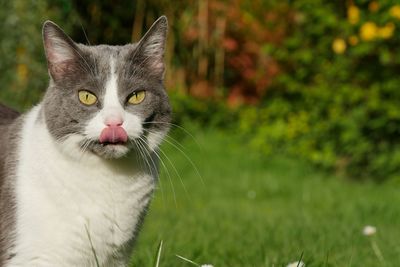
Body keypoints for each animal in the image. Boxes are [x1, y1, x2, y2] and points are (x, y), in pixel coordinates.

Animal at [0, 15, 170, 266]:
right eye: (87, 96)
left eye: (136, 96)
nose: (114, 123)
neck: (109, 181)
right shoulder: (33, 256)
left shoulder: (116, 257)